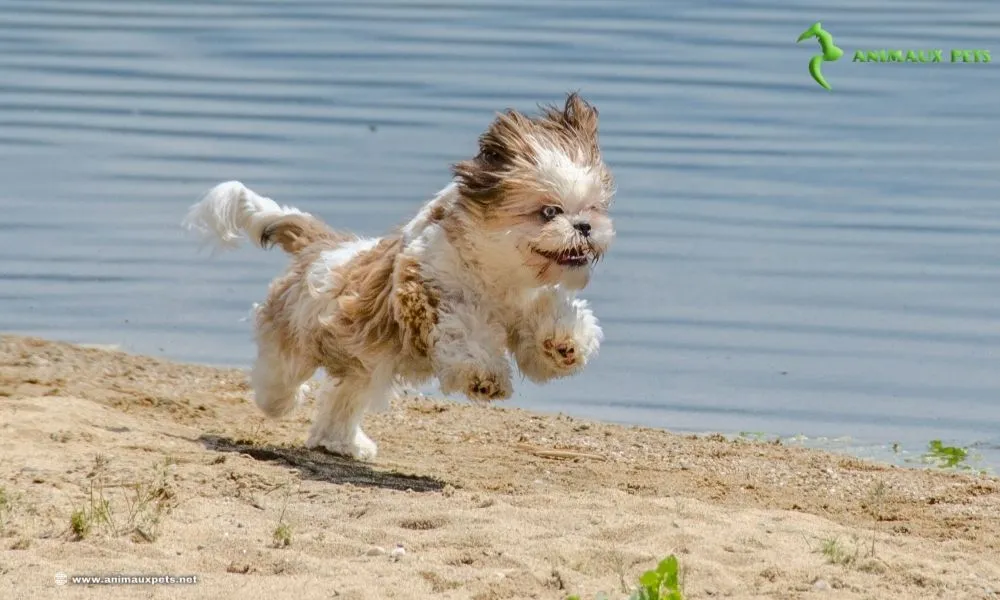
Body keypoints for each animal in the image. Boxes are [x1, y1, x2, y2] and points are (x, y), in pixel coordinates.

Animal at [183, 92, 612, 460]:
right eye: (549, 212)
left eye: (593, 208)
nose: (584, 227)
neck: (498, 272)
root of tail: (323, 246)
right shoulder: (429, 294)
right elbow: (465, 334)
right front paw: (484, 378)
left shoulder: (526, 303)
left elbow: (549, 320)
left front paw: (564, 345)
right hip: (295, 340)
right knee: (280, 379)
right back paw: (281, 400)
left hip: (361, 363)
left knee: (343, 397)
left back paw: (341, 443)